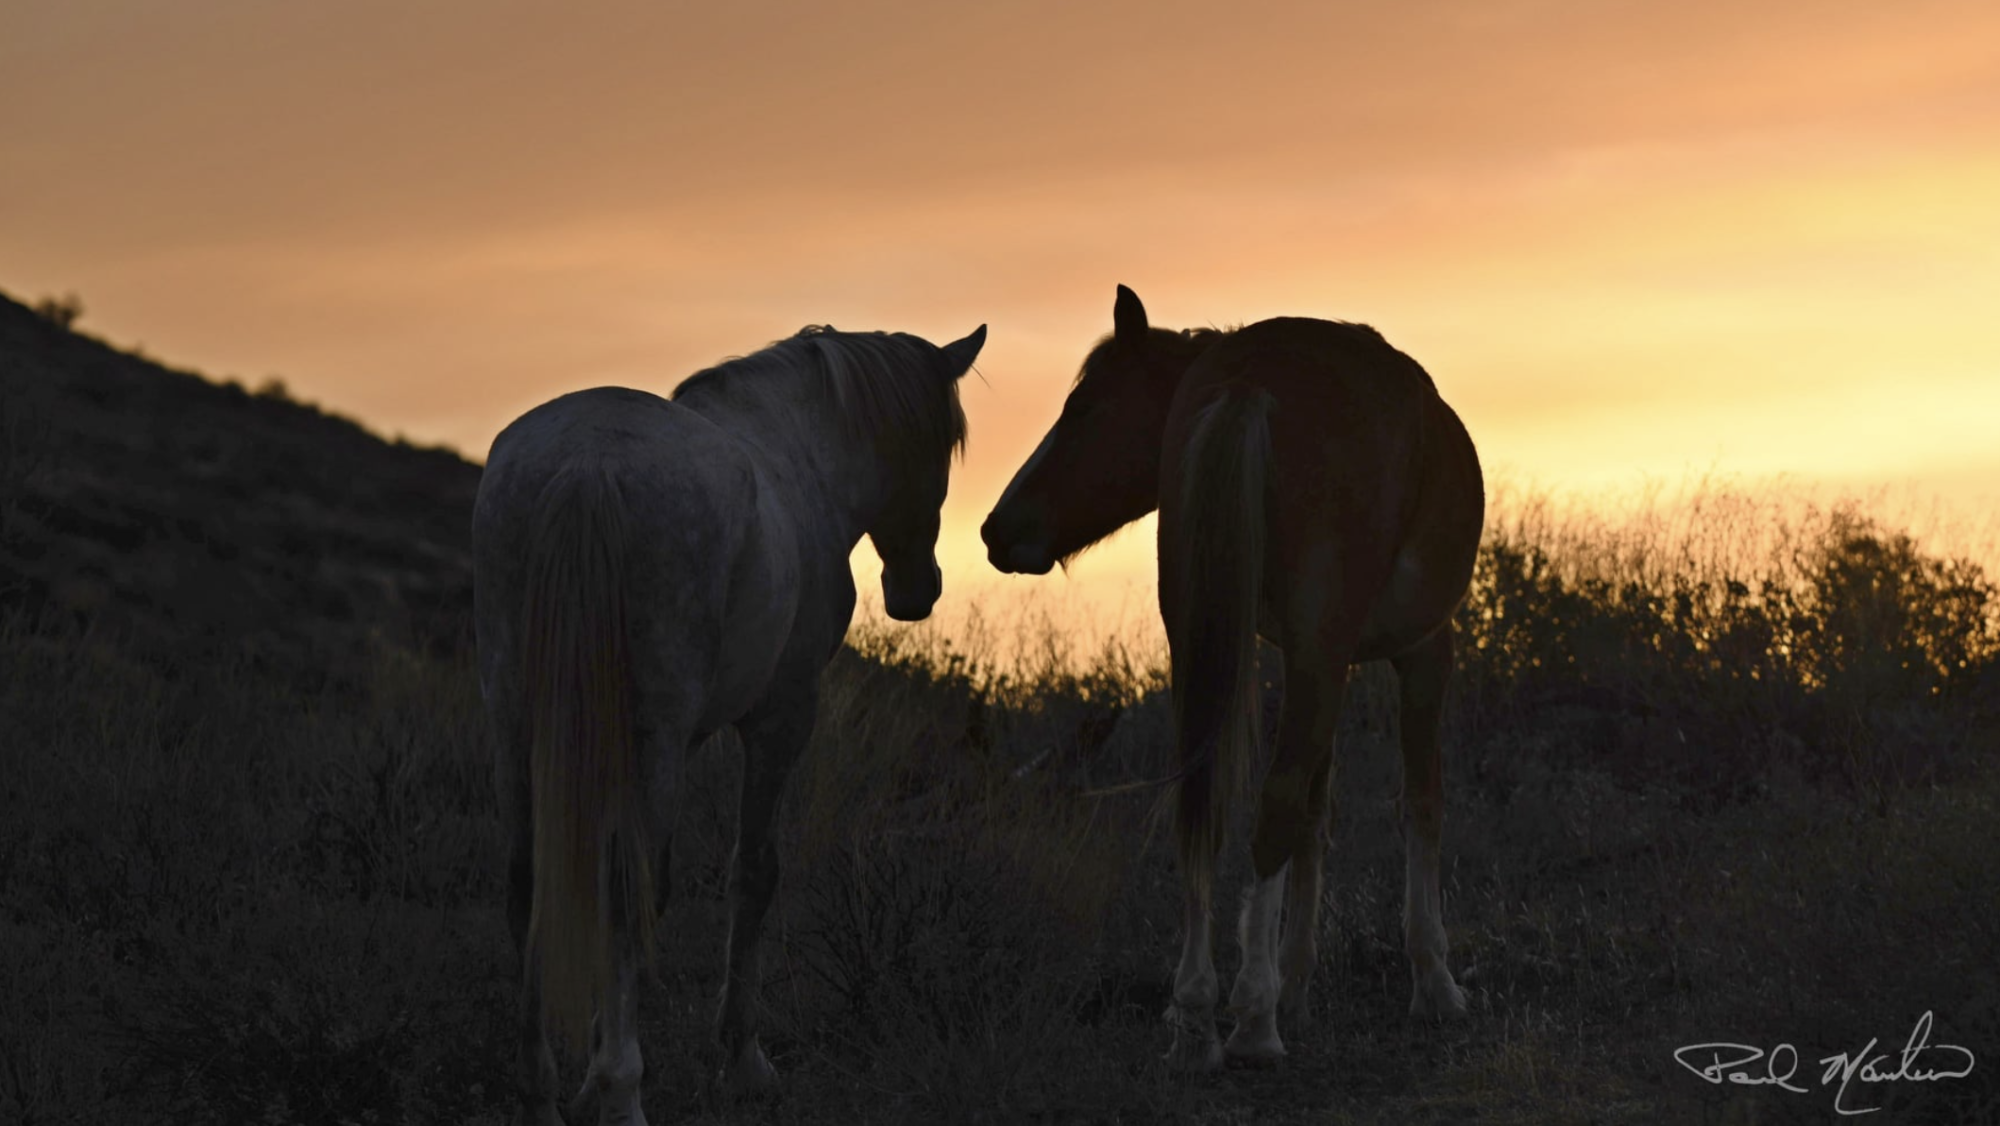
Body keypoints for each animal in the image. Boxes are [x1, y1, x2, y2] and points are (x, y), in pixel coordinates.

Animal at [473, 322, 985, 1124]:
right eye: (938, 448)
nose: (918, 590)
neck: (798, 451)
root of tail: (588, 467)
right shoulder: (780, 717)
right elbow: (753, 873)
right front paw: (742, 1060)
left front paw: (587, 1071)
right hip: (644, 737)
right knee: (623, 890)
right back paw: (624, 1091)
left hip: (517, 722)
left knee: (528, 882)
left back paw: (541, 1093)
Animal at [980, 286, 1482, 1070]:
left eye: (1083, 407)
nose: (996, 530)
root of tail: (1251, 382)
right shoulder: (1419, 650)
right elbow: (1416, 802)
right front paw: (1433, 984)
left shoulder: (1313, 658)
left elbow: (1317, 812)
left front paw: (1297, 986)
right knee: (1271, 804)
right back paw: (1250, 1021)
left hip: (1204, 640)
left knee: (1203, 799)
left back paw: (1194, 1011)